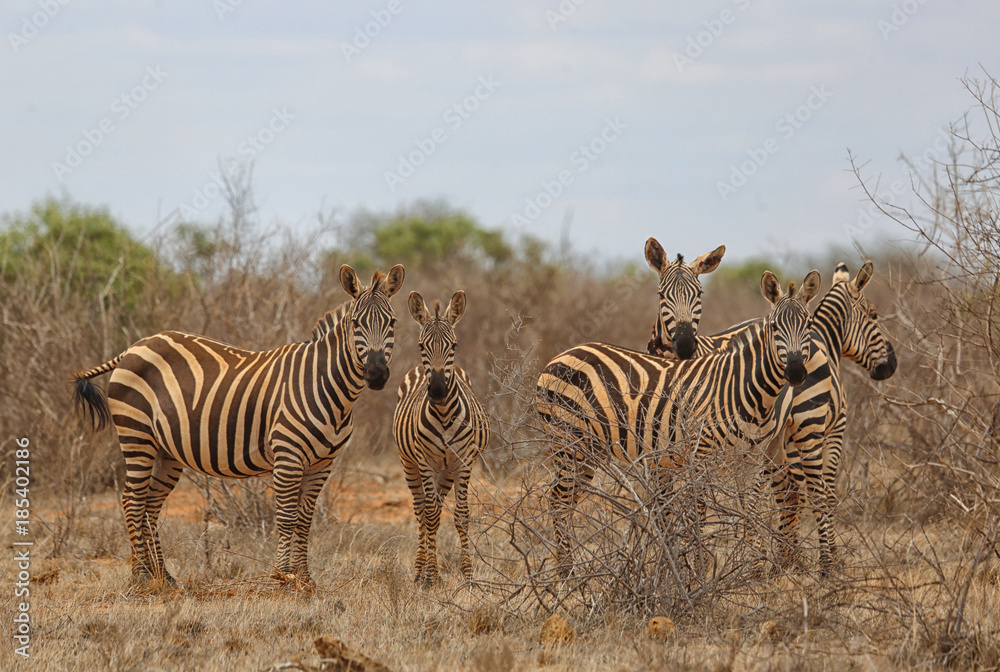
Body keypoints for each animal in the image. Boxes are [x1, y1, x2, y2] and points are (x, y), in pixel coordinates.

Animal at [73, 264, 405, 587]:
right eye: (356, 324)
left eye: (392, 323)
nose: (377, 374)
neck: (327, 386)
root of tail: (134, 347)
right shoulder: (288, 455)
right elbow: (287, 517)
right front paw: (283, 576)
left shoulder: (323, 463)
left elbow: (304, 520)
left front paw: (306, 579)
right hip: (136, 436)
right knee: (132, 501)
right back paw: (140, 576)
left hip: (166, 451)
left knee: (150, 505)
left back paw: (162, 576)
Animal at [392, 291, 491, 586]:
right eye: (421, 345)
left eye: (454, 346)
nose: (437, 390)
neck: (445, 414)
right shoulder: (425, 461)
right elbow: (431, 515)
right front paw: (431, 577)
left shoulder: (464, 461)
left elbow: (462, 516)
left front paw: (468, 575)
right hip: (410, 463)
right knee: (421, 509)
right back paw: (419, 570)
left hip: (446, 470)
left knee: (433, 503)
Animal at [536, 270, 820, 570]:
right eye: (775, 327)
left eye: (809, 325)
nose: (796, 373)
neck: (747, 389)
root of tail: (560, 356)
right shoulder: (701, 453)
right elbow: (699, 511)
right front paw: (699, 568)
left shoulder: (753, 457)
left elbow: (750, 508)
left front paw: (755, 568)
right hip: (568, 440)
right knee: (558, 499)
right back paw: (566, 571)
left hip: (589, 449)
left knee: (567, 499)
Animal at [647, 261, 896, 571]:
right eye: (873, 315)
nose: (891, 366)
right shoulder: (831, 431)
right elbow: (823, 494)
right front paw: (820, 556)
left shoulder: (775, 444)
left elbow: (784, 493)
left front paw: (786, 556)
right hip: (806, 428)